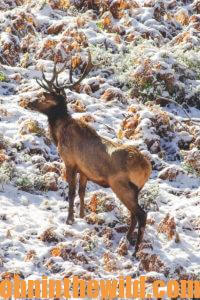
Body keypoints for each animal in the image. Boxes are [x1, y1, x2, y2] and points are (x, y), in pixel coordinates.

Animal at [21, 52, 152, 254]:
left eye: (45, 97)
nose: (29, 102)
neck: (58, 134)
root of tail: (147, 168)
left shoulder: (70, 161)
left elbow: (72, 191)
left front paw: (69, 219)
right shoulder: (85, 170)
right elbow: (82, 192)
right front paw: (82, 216)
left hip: (122, 185)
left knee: (141, 214)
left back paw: (136, 249)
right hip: (135, 190)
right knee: (134, 215)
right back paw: (127, 240)